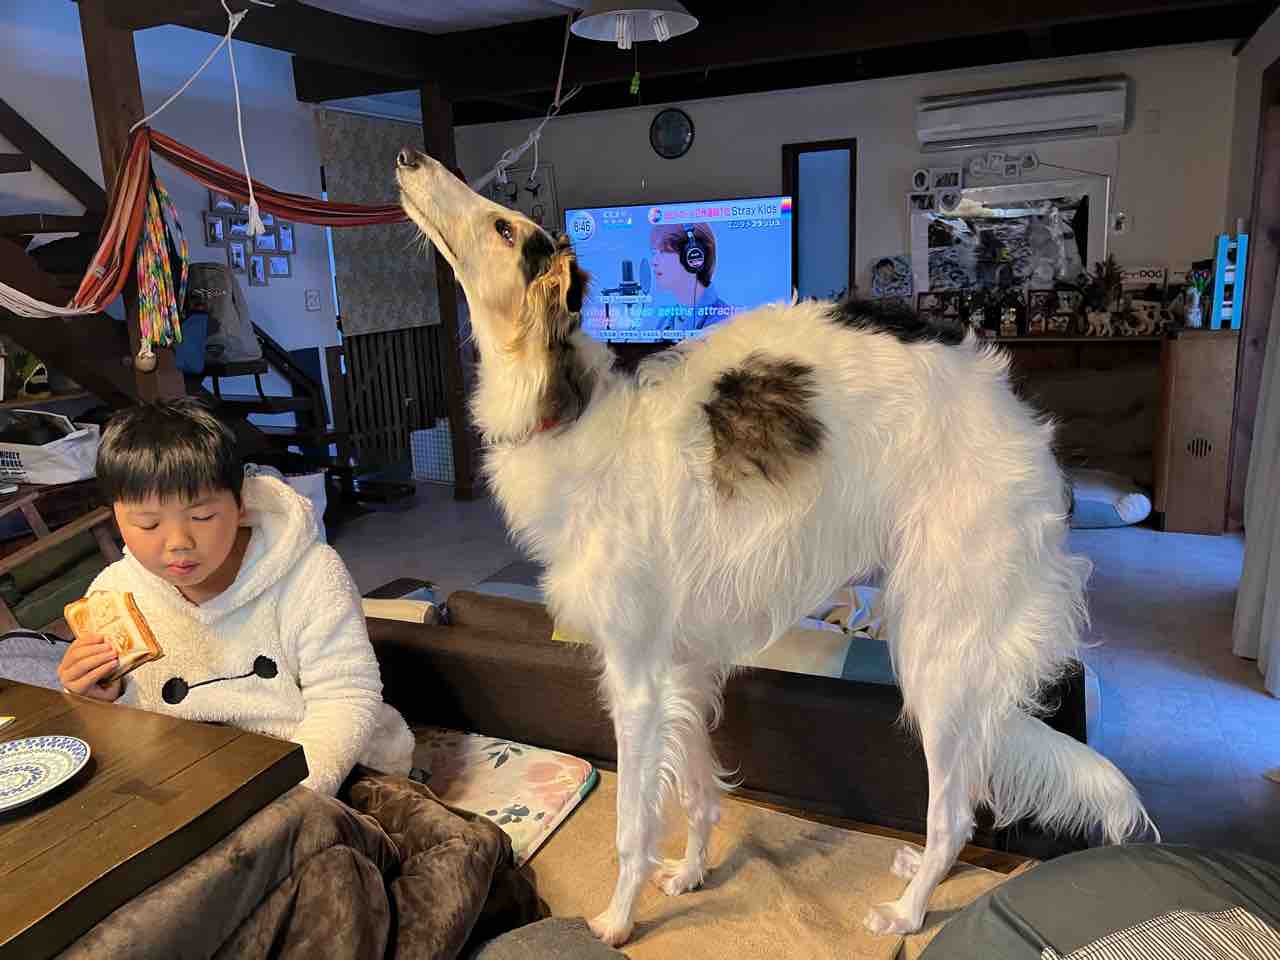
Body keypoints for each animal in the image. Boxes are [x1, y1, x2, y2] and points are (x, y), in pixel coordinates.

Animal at [396, 149, 1155, 946]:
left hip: (938, 652)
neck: (569, 410)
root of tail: (1024, 428)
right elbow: (698, 793)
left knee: (954, 813)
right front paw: (692, 874)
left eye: (504, 227)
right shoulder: (683, 668)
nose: (410, 157)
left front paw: (615, 921)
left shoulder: (636, 678)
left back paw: (908, 910)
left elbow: (634, 823)